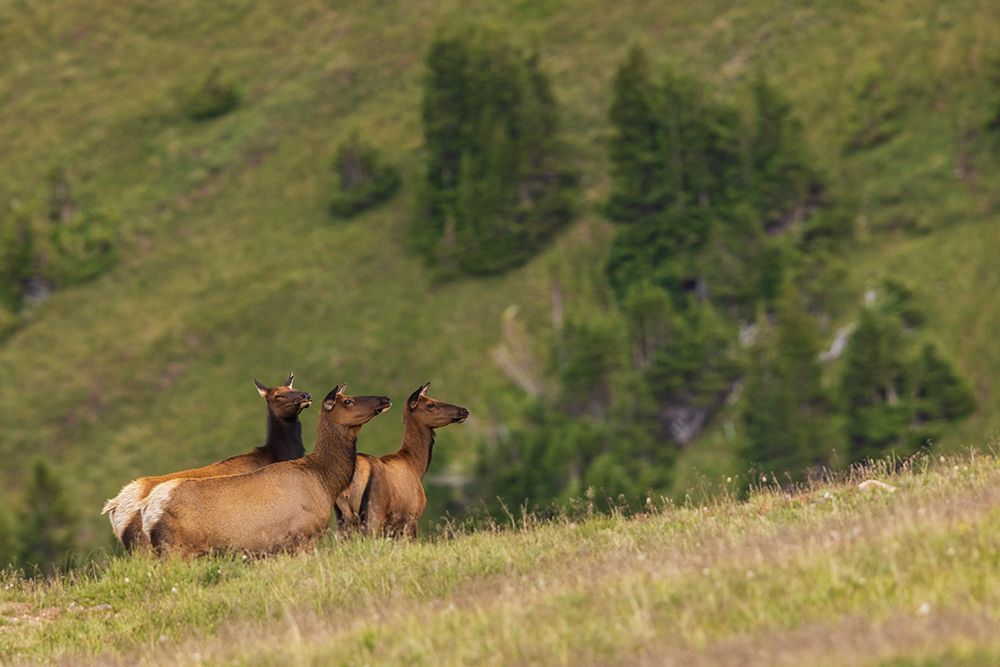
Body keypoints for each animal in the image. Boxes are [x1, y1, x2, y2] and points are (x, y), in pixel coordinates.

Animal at [141, 385, 391, 557]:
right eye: (348, 401)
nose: (385, 398)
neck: (324, 481)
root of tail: (148, 511)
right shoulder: (302, 535)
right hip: (175, 550)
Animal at [335, 382, 468, 539]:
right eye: (430, 404)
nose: (464, 410)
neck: (416, 465)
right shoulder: (412, 517)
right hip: (373, 513)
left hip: (343, 519)